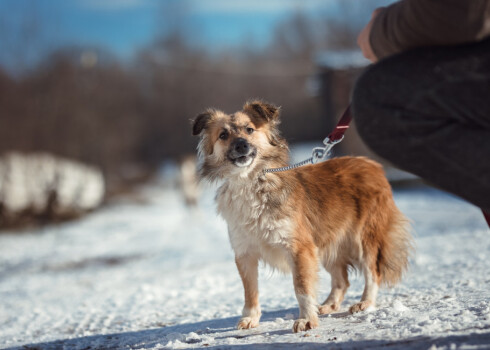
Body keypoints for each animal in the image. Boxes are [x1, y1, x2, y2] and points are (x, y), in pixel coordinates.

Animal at [191, 100, 414, 332]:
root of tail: (373, 166)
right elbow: (250, 290)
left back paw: (365, 303)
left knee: (372, 273)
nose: (241, 145)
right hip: (327, 243)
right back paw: (328, 305)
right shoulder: (245, 253)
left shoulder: (299, 247)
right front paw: (251, 317)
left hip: (364, 239)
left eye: (249, 129)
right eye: (223, 135)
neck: (250, 181)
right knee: (342, 280)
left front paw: (307, 319)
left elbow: (302, 286)